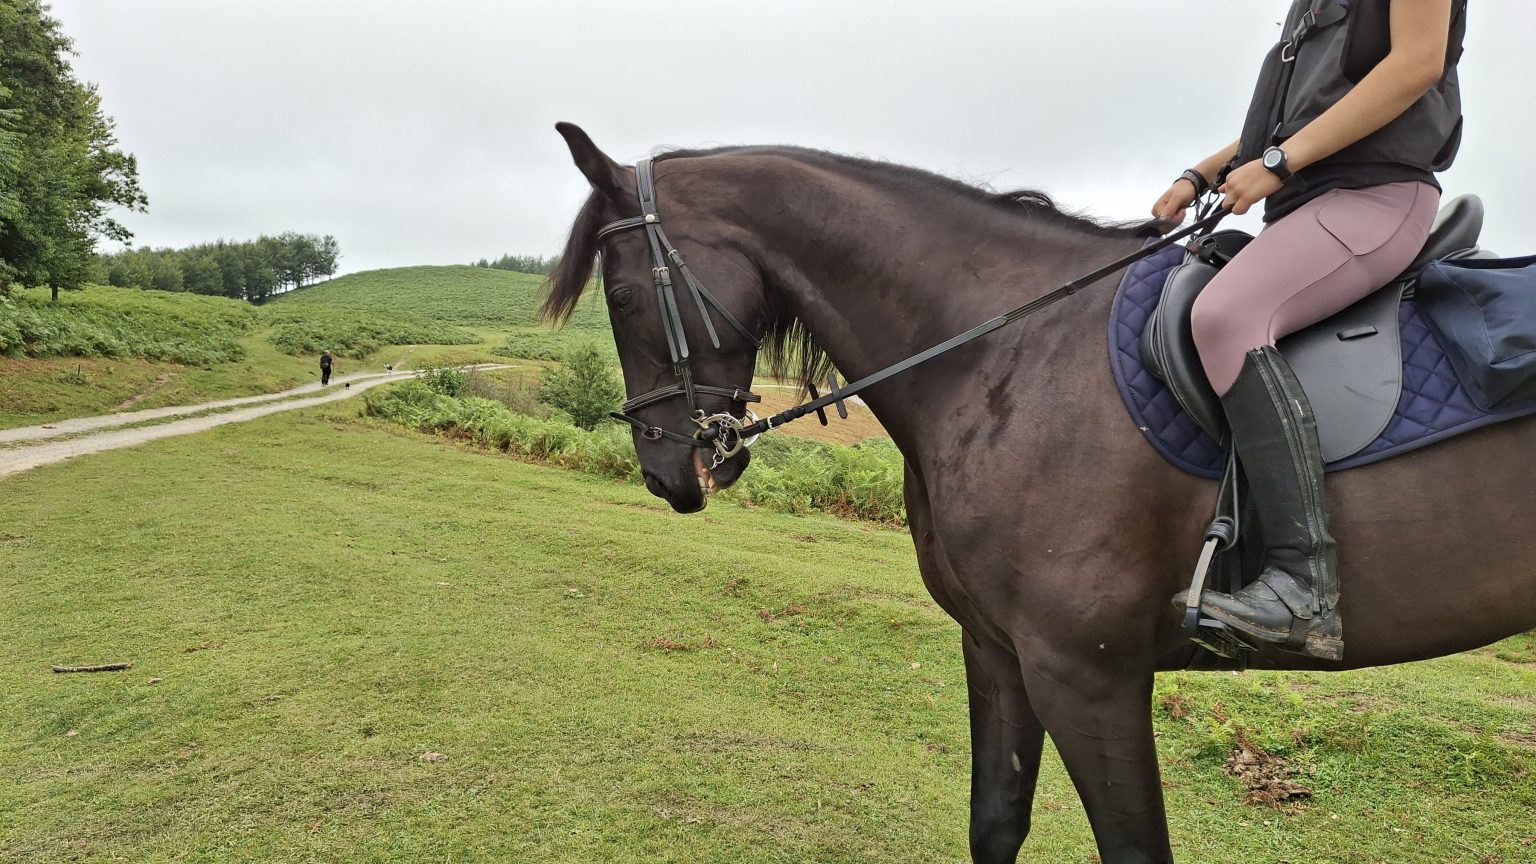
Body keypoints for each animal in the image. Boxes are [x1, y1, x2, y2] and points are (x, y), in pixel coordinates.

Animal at [542, 122, 1536, 864]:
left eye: (621, 297)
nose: (668, 472)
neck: (1006, 352)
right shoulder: (999, 652)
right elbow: (995, 823)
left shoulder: (1086, 674)